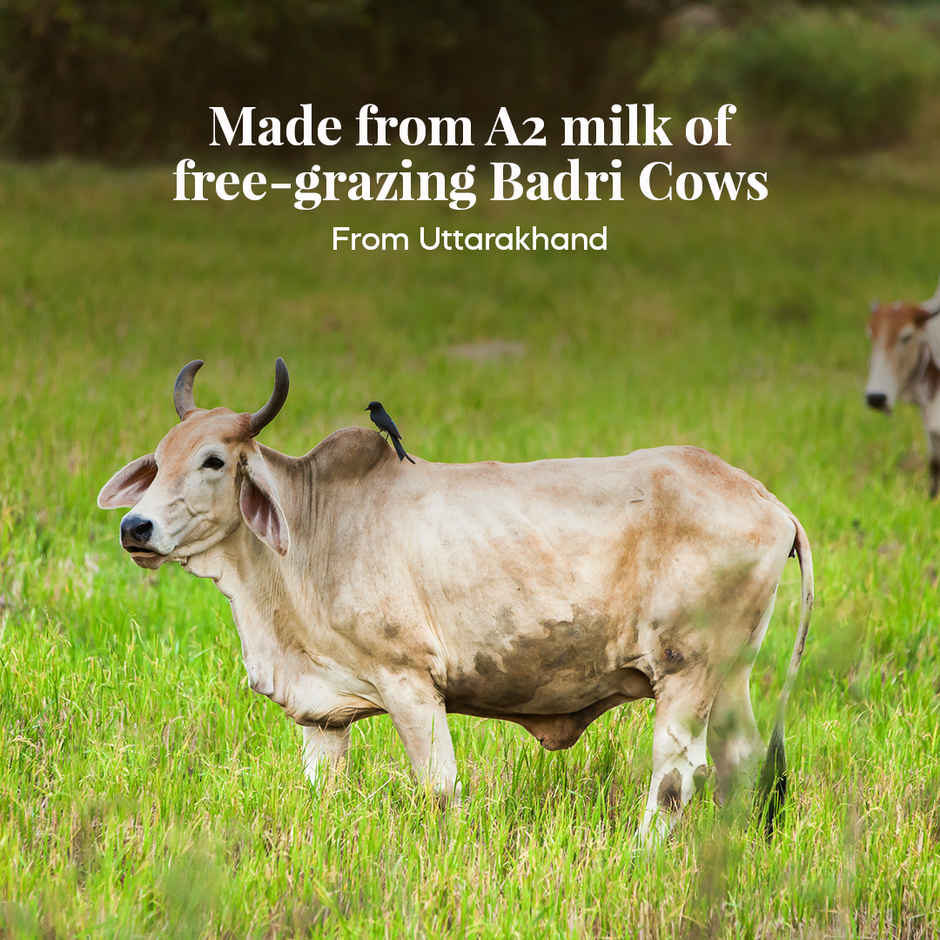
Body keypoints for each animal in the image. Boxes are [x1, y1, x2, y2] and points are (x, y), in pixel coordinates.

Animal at [98, 359, 813, 843]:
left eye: (214, 461)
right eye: (159, 460)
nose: (137, 528)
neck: (311, 532)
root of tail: (770, 502)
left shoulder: (410, 682)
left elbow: (440, 790)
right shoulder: (321, 714)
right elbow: (325, 791)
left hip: (686, 674)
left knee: (675, 774)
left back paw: (642, 854)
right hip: (730, 678)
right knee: (741, 762)